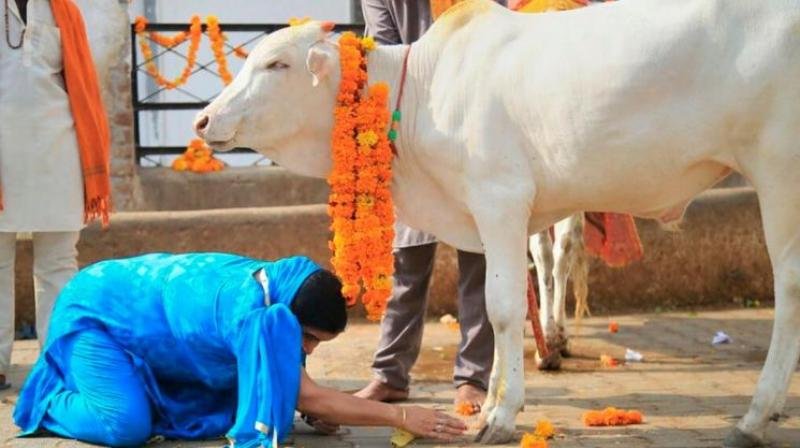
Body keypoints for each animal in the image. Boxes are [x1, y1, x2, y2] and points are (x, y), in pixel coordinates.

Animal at [194, 1, 800, 445]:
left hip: (780, 173)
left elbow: (503, 309)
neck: (421, 94)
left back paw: (754, 417)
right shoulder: (490, 216)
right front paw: (487, 403)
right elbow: (491, 308)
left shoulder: (501, 200)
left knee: (789, 289)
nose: (203, 120)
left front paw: (502, 417)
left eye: (277, 64)